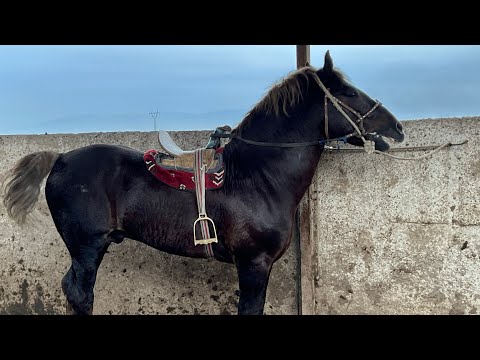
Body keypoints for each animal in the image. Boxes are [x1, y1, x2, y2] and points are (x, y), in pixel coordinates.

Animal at [1, 51, 404, 316]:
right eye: (349, 93)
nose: (397, 128)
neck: (257, 177)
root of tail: (61, 158)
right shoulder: (253, 264)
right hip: (87, 248)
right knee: (80, 293)